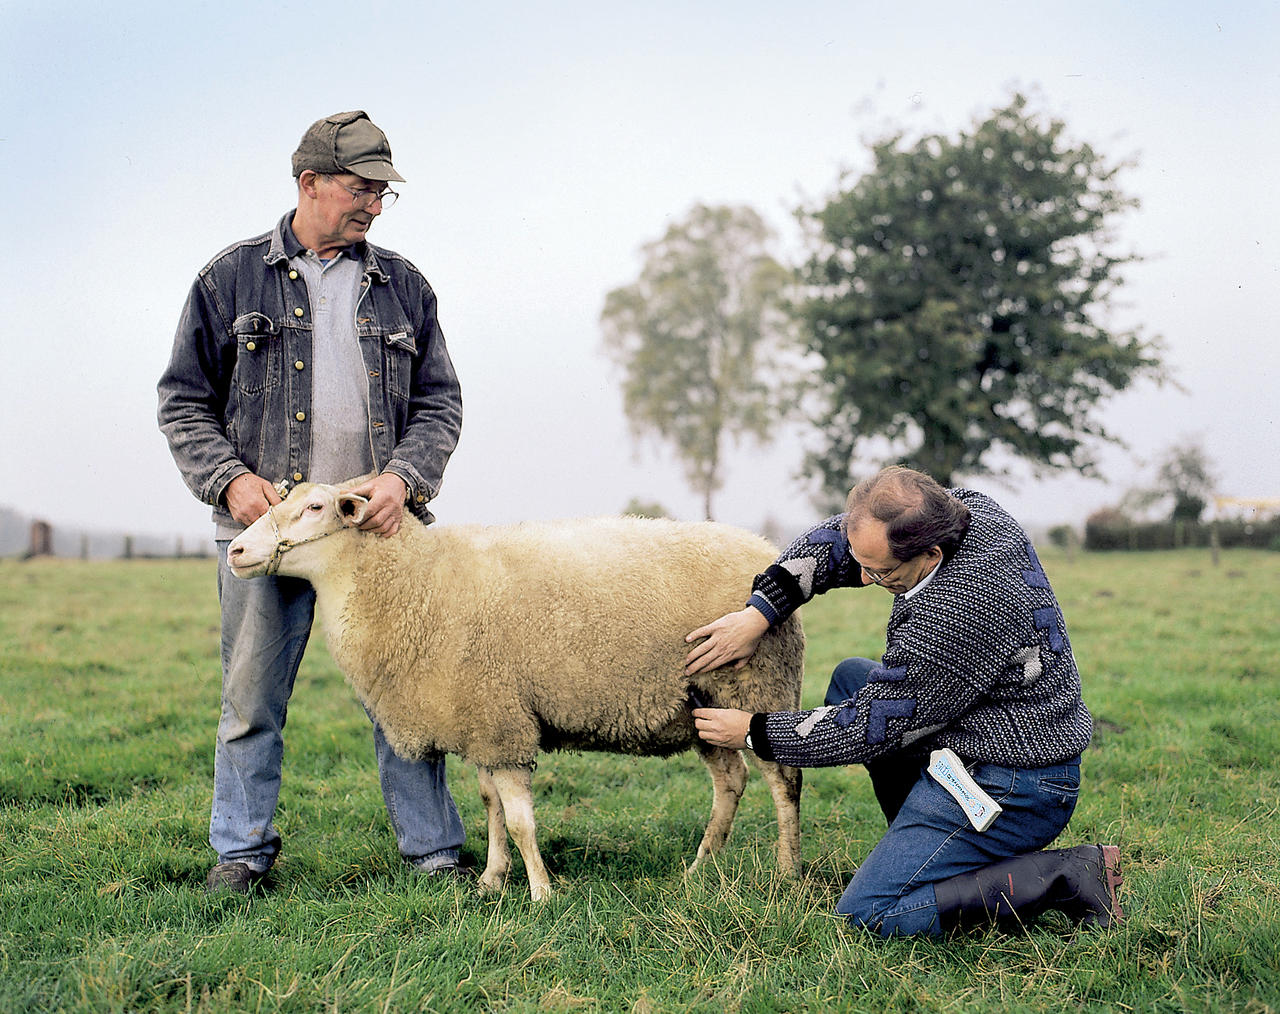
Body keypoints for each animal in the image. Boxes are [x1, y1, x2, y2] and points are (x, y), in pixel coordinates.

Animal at [226, 478, 803, 901]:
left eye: (315, 507)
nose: (235, 549)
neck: (415, 583)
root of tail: (762, 549)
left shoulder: (503, 726)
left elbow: (522, 821)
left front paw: (541, 892)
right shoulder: (485, 720)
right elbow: (491, 808)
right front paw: (492, 879)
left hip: (757, 686)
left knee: (784, 781)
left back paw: (786, 870)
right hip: (704, 707)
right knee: (730, 782)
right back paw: (700, 868)